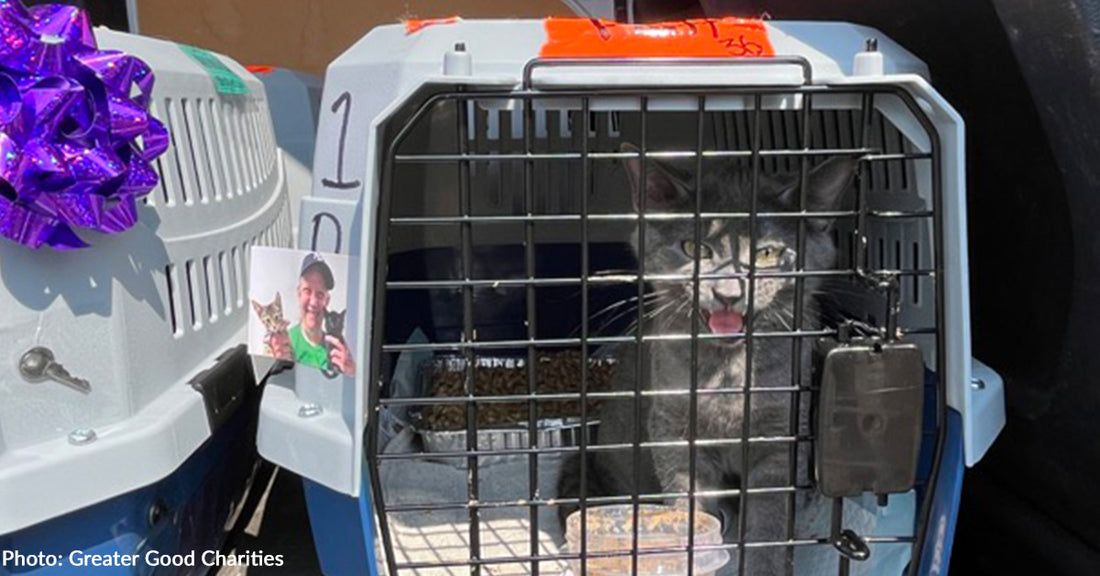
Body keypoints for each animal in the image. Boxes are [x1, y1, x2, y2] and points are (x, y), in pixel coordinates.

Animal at [554, 142, 853, 571]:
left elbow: (770, 514)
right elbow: (687, 502)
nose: (728, 294)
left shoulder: (781, 434)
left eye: (766, 254)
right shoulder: (673, 430)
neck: (727, 374)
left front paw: (763, 562)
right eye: (695, 249)